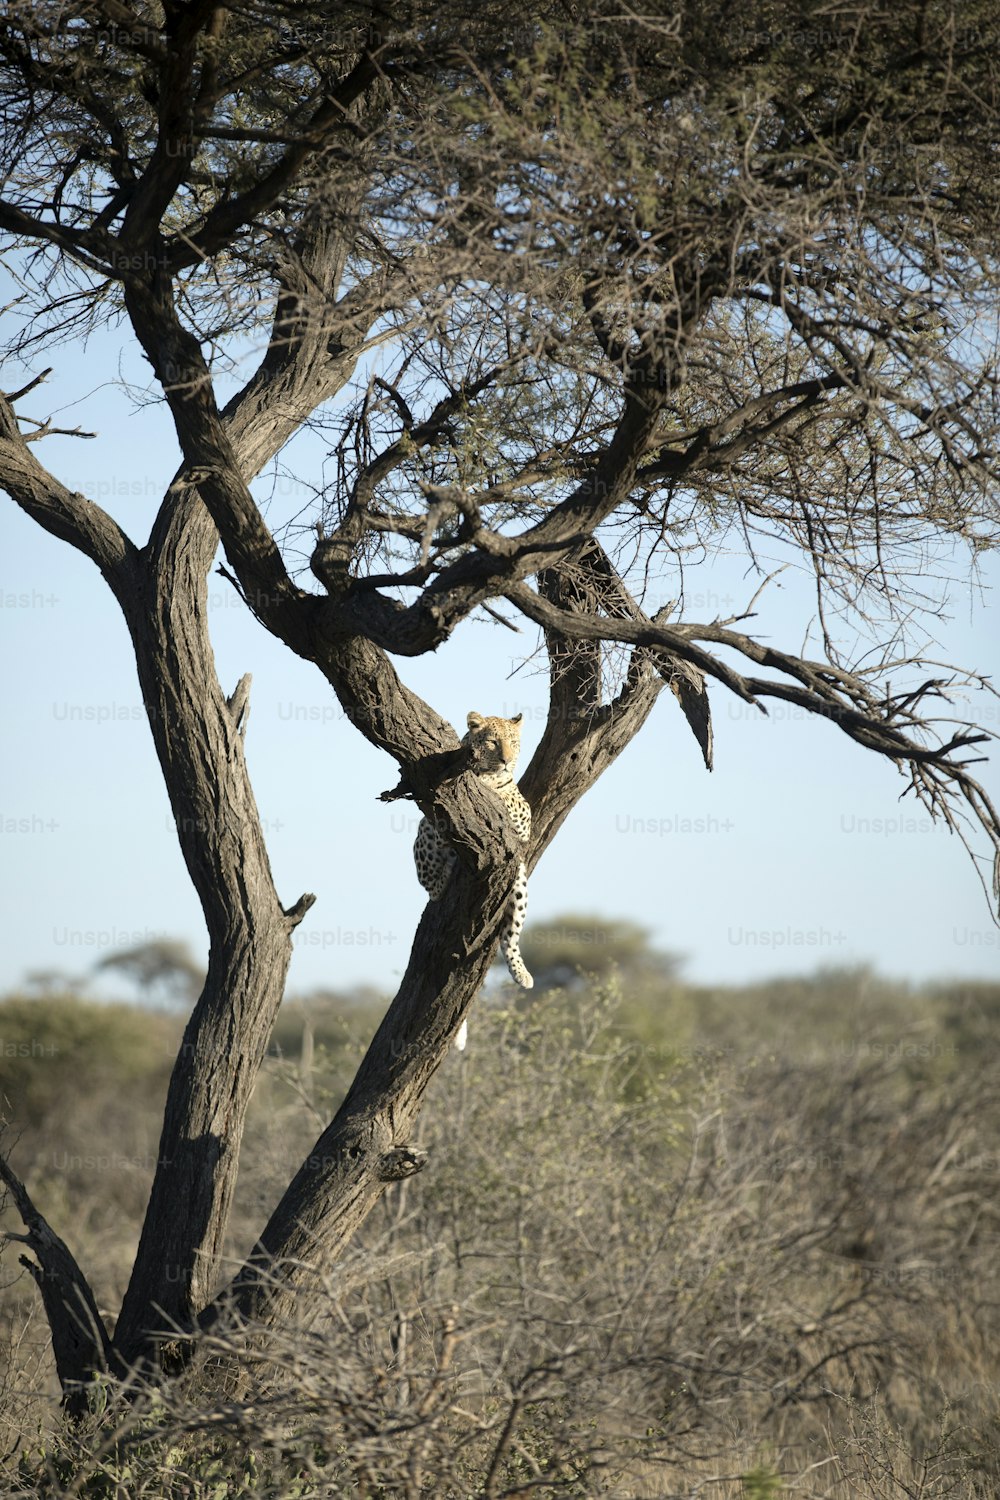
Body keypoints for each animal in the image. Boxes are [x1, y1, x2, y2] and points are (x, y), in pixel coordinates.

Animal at [413, 711, 536, 1002]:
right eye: (493, 742)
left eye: (513, 742)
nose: (506, 761)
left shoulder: (524, 818)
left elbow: (508, 800)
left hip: (519, 881)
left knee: (510, 935)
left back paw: (521, 973)